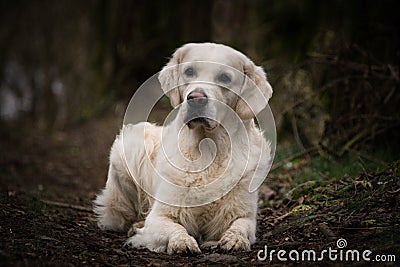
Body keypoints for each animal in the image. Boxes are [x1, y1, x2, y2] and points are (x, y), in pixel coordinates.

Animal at [94, 43, 274, 255]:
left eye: (225, 78)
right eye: (189, 71)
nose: (196, 98)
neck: (208, 148)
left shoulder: (243, 213)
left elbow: (241, 226)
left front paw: (235, 239)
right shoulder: (160, 215)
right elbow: (173, 227)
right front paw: (182, 242)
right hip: (129, 146)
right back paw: (136, 225)